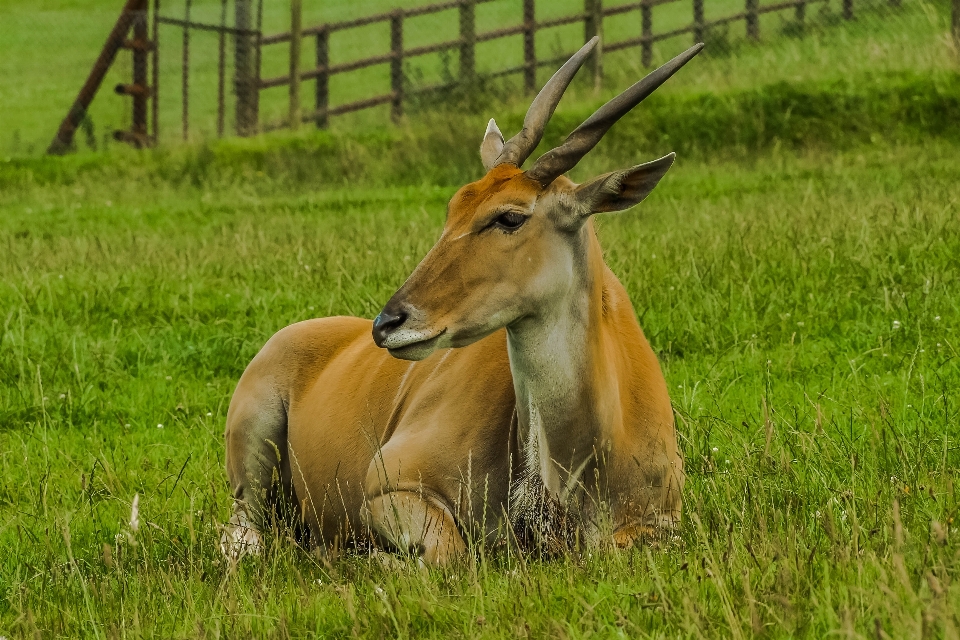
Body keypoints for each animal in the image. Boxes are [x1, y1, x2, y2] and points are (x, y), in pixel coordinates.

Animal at [225, 37, 704, 564]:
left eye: (509, 217)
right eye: (454, 206)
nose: (389, 322)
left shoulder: (663, 526)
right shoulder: (387, 484)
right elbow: (454, 556)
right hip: (252, 462)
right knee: (243, 535)